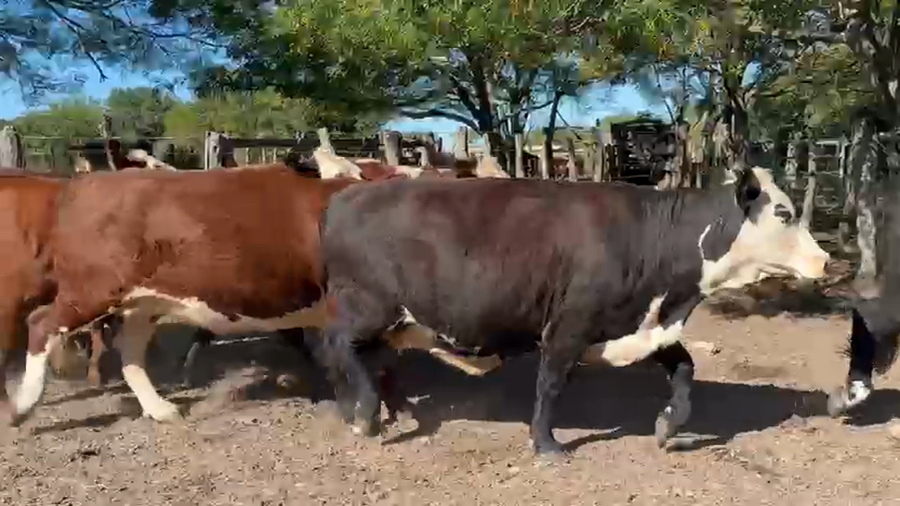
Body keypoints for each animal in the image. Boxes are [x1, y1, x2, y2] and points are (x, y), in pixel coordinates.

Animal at [315, 166, 830, 456]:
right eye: (783, 213)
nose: (825, 260)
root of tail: (345, 195)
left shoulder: (641, 321)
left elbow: (684, 367)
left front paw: (668, 426)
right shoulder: (567, 326)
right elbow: (551, 386)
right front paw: (546, 444)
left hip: (392, 320)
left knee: (358, 355)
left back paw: (377, 408)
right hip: (370, 306)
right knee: (336, 345)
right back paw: (363, 414)